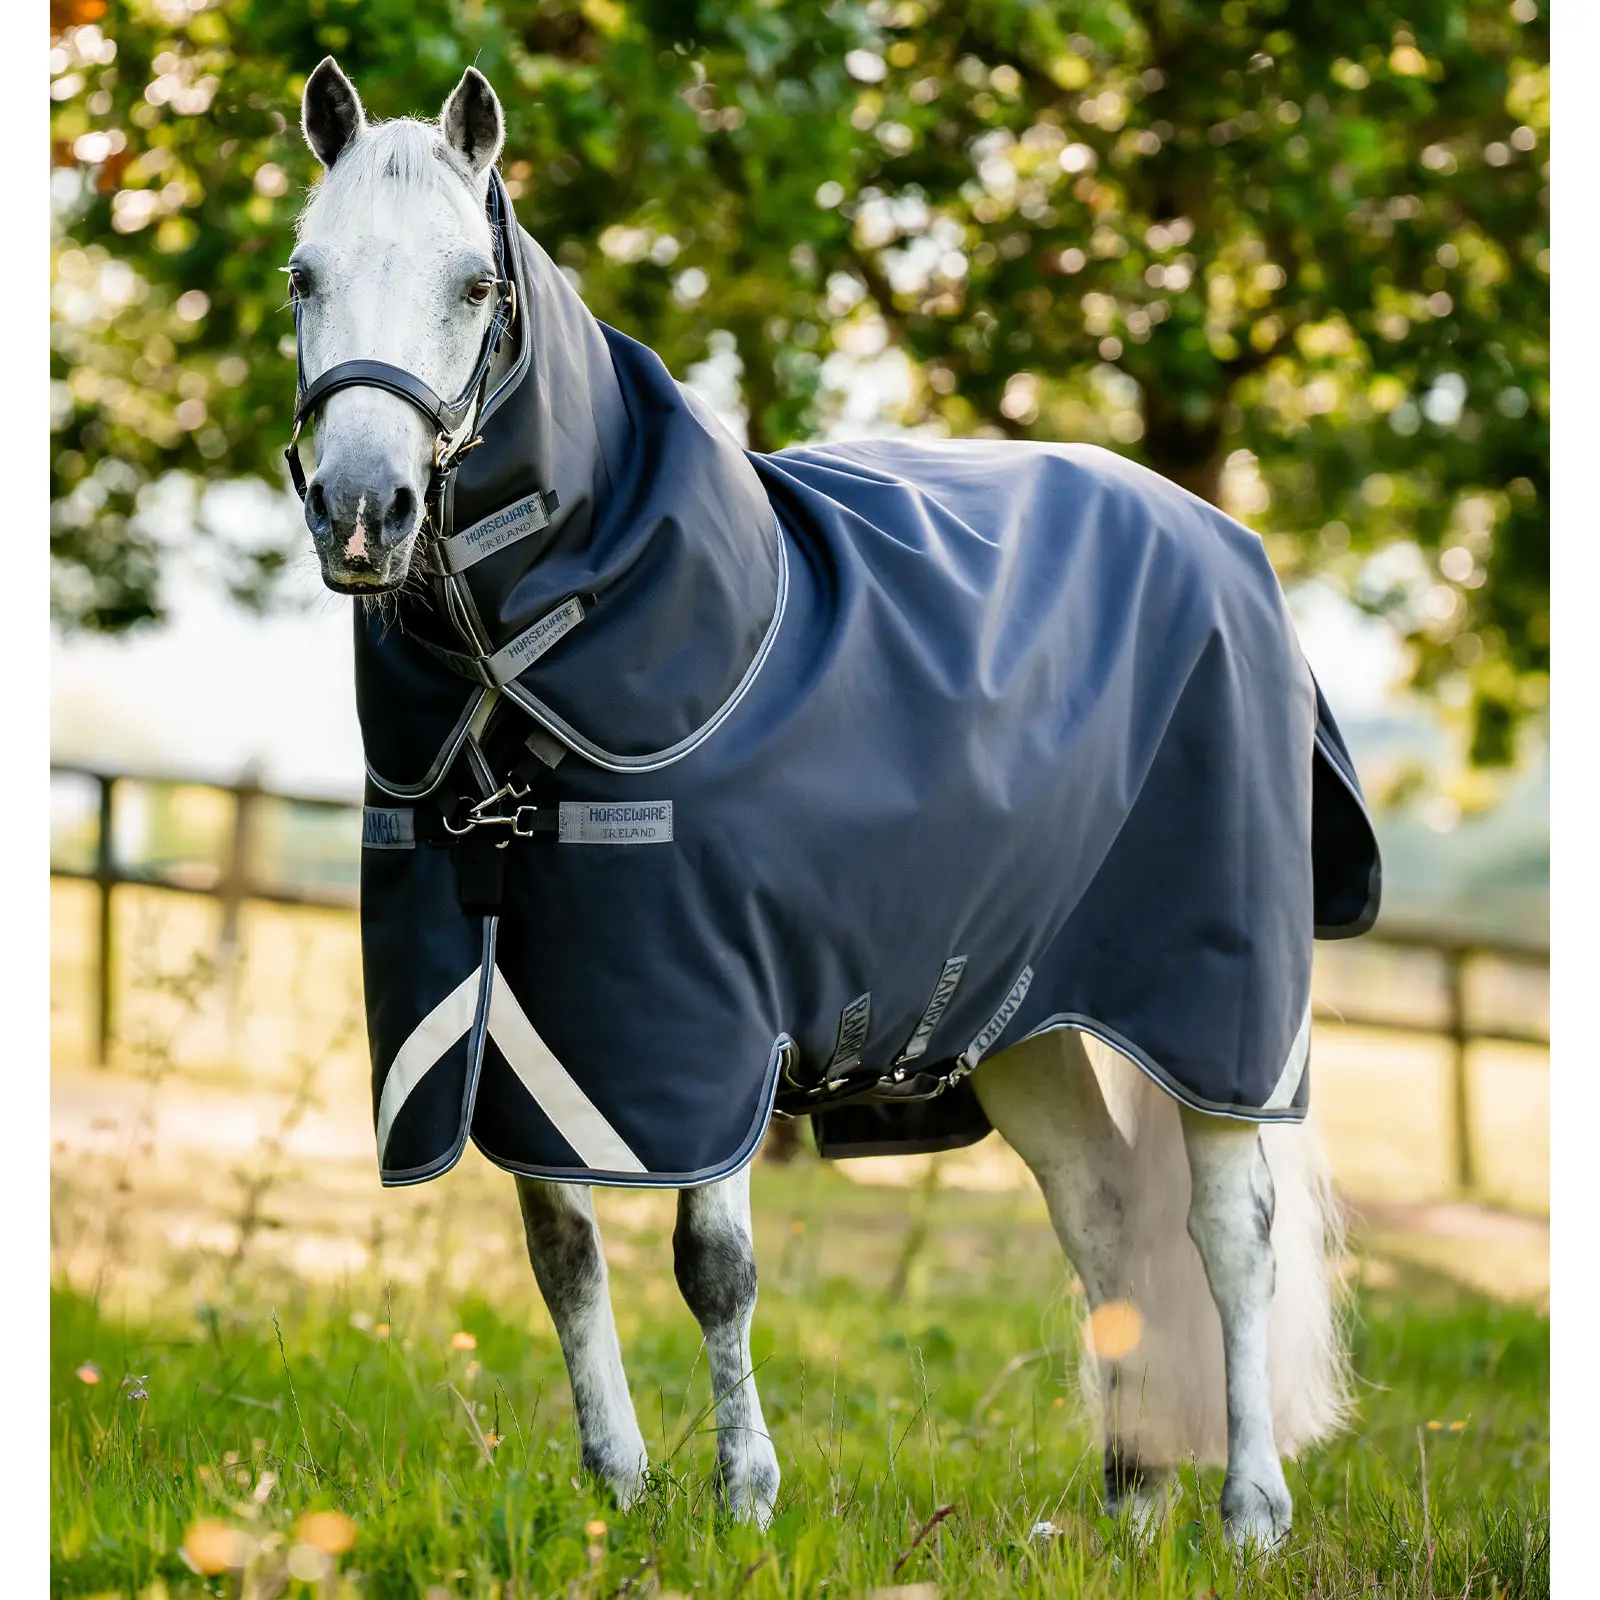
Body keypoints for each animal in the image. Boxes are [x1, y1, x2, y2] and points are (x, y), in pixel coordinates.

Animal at [283, 56, 1373, 1550]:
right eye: (302, 276)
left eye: (471, 284)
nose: (362, 510)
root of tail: (1232, 545)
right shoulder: (523, 1012)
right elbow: (562, 1250)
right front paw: (617, 1487)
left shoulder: (697, 1019)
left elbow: (712, 1261)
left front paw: (744, 1493)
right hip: (1025, 1013)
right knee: (1101, 1213)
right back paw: (1132, 1494)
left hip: (1218, 1014)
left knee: (1230, 1235)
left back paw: (1247, 1506)